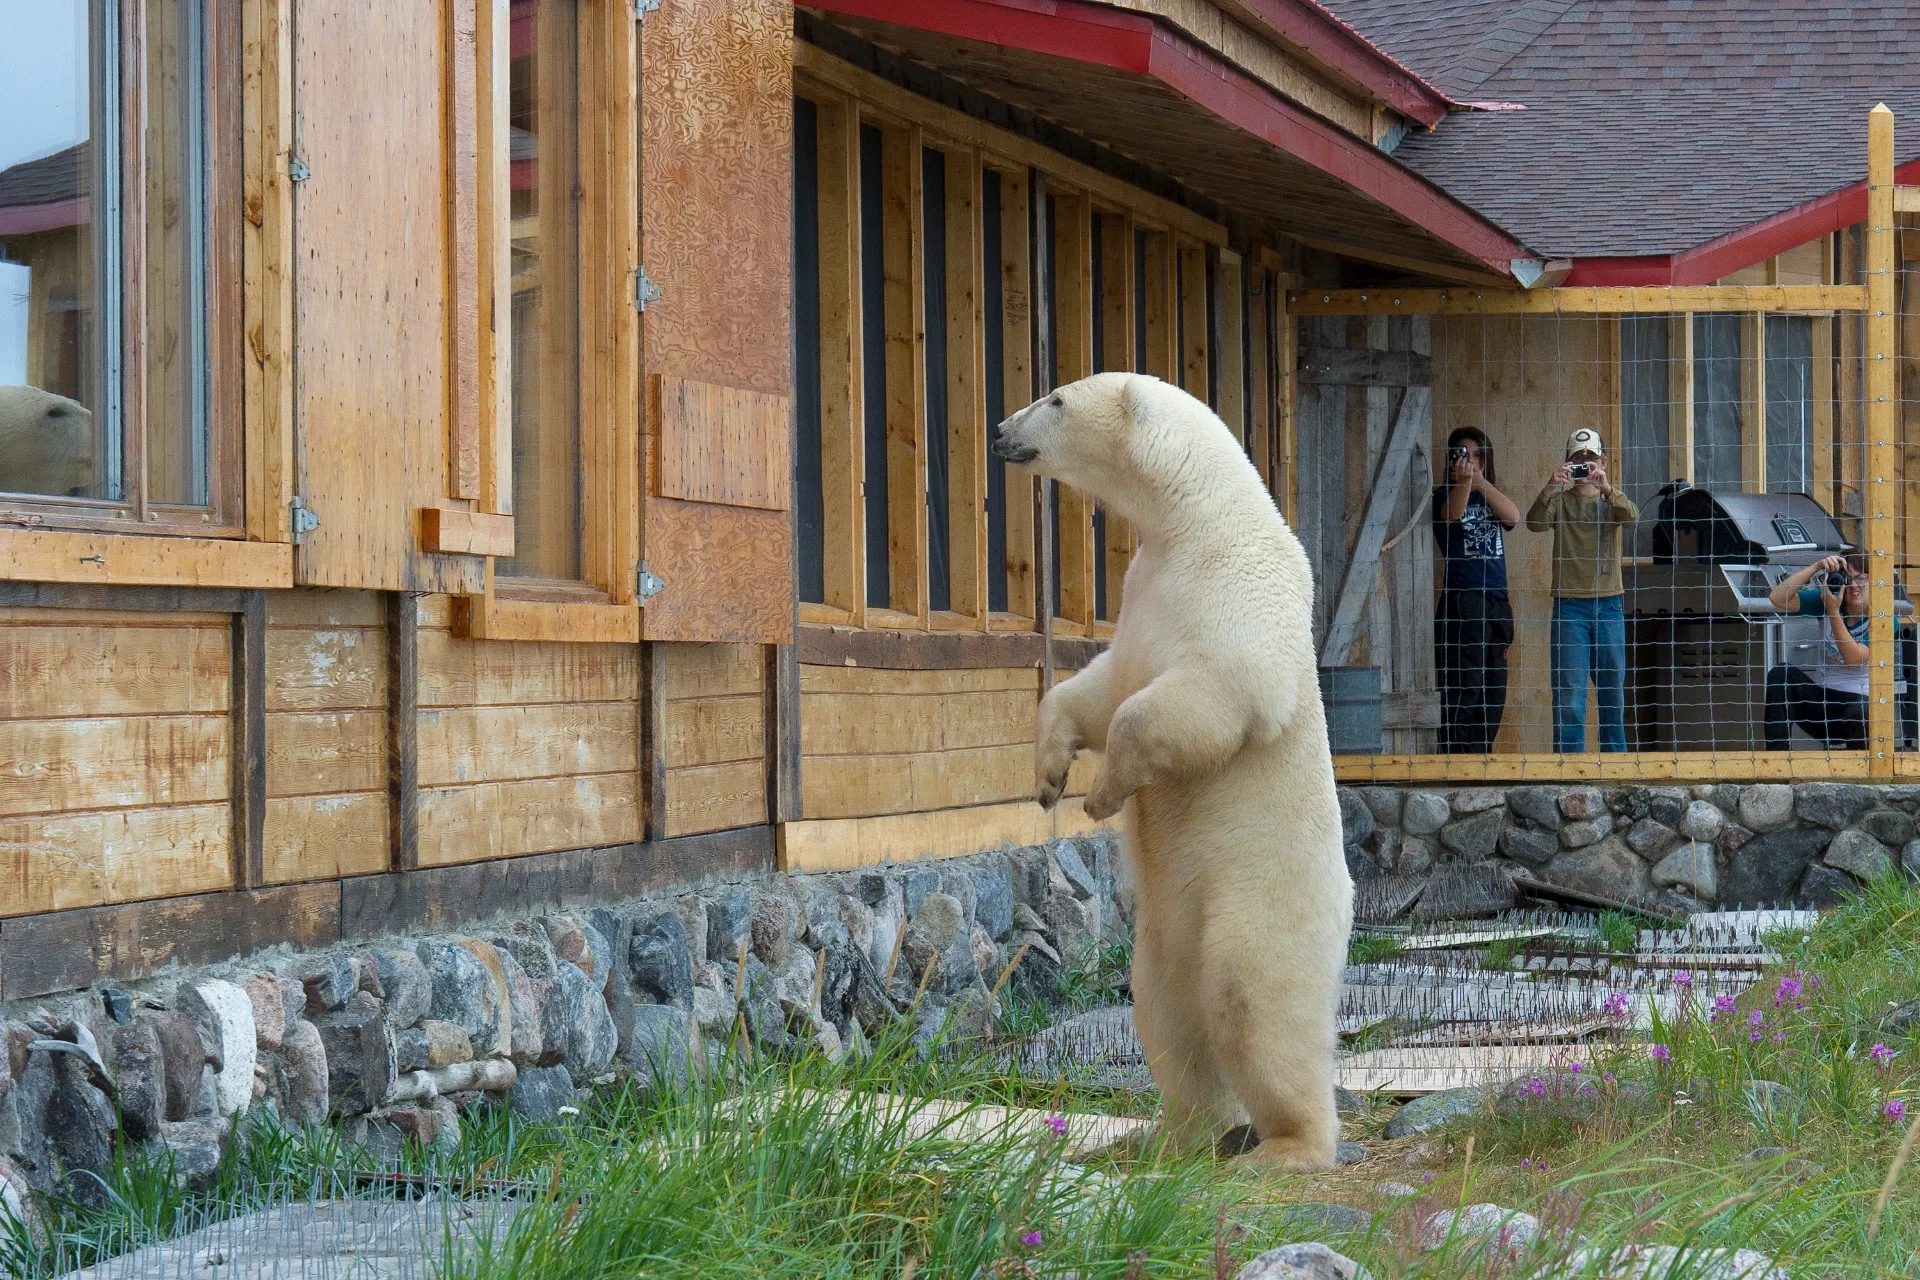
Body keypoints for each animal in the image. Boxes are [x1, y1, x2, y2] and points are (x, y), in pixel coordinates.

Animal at [993, 371, 1350, 1171]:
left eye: (1056, 399)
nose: (1000, 431)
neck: (1198, 519)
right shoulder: (1144, 589)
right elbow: (1100, 689)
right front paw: (1048, 778)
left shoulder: (1237, 593)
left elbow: (1206, 696)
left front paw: (1101, 796)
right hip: (1160, 937)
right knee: (1164, 1013)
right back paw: (1172, 1138)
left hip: (1262, 902)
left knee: (1253, 1000)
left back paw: (1283, 1148)